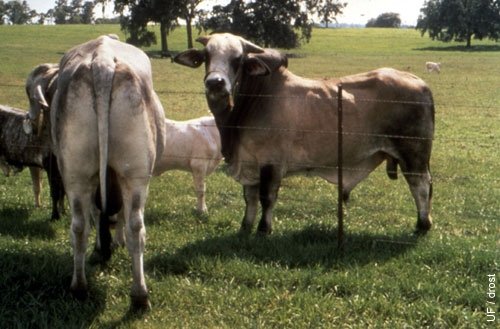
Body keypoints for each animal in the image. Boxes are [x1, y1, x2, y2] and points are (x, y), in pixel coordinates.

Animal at [174, 32, 432, 233]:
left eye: (238, 59)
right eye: (206, 56)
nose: (215, 83)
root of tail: (419, 82)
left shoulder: (271, 162)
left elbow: (267, 198)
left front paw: (263, 229)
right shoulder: (249, 162)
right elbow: (250, 198)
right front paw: (245, 227)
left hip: (414, 156)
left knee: (421, 186)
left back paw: (423, 225)